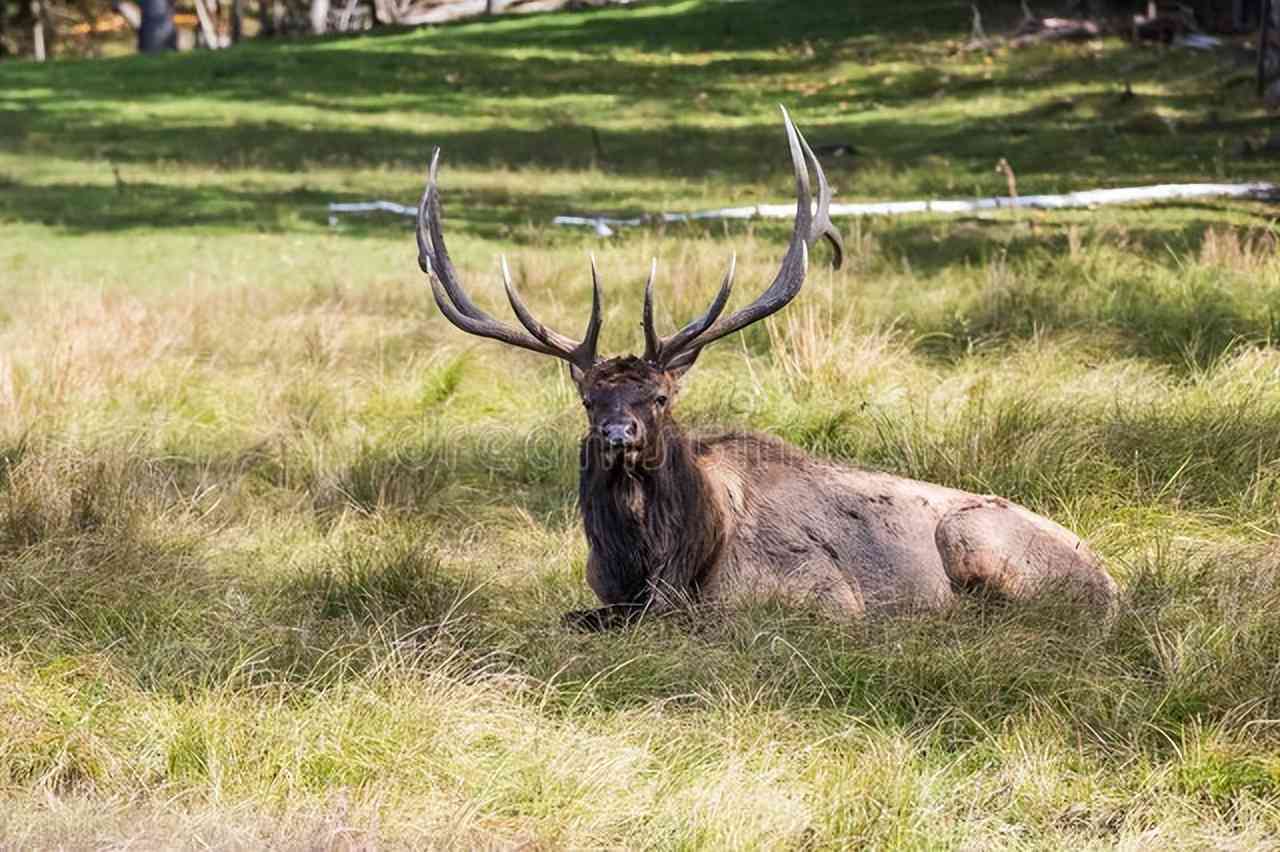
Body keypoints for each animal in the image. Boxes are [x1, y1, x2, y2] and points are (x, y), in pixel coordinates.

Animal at [414, 109, 1116, 626]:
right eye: (590, 401)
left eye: (660, 398)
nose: (618, 434)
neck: (669, 567)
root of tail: (1113, 582)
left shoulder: (823, 594)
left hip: (976, 538)